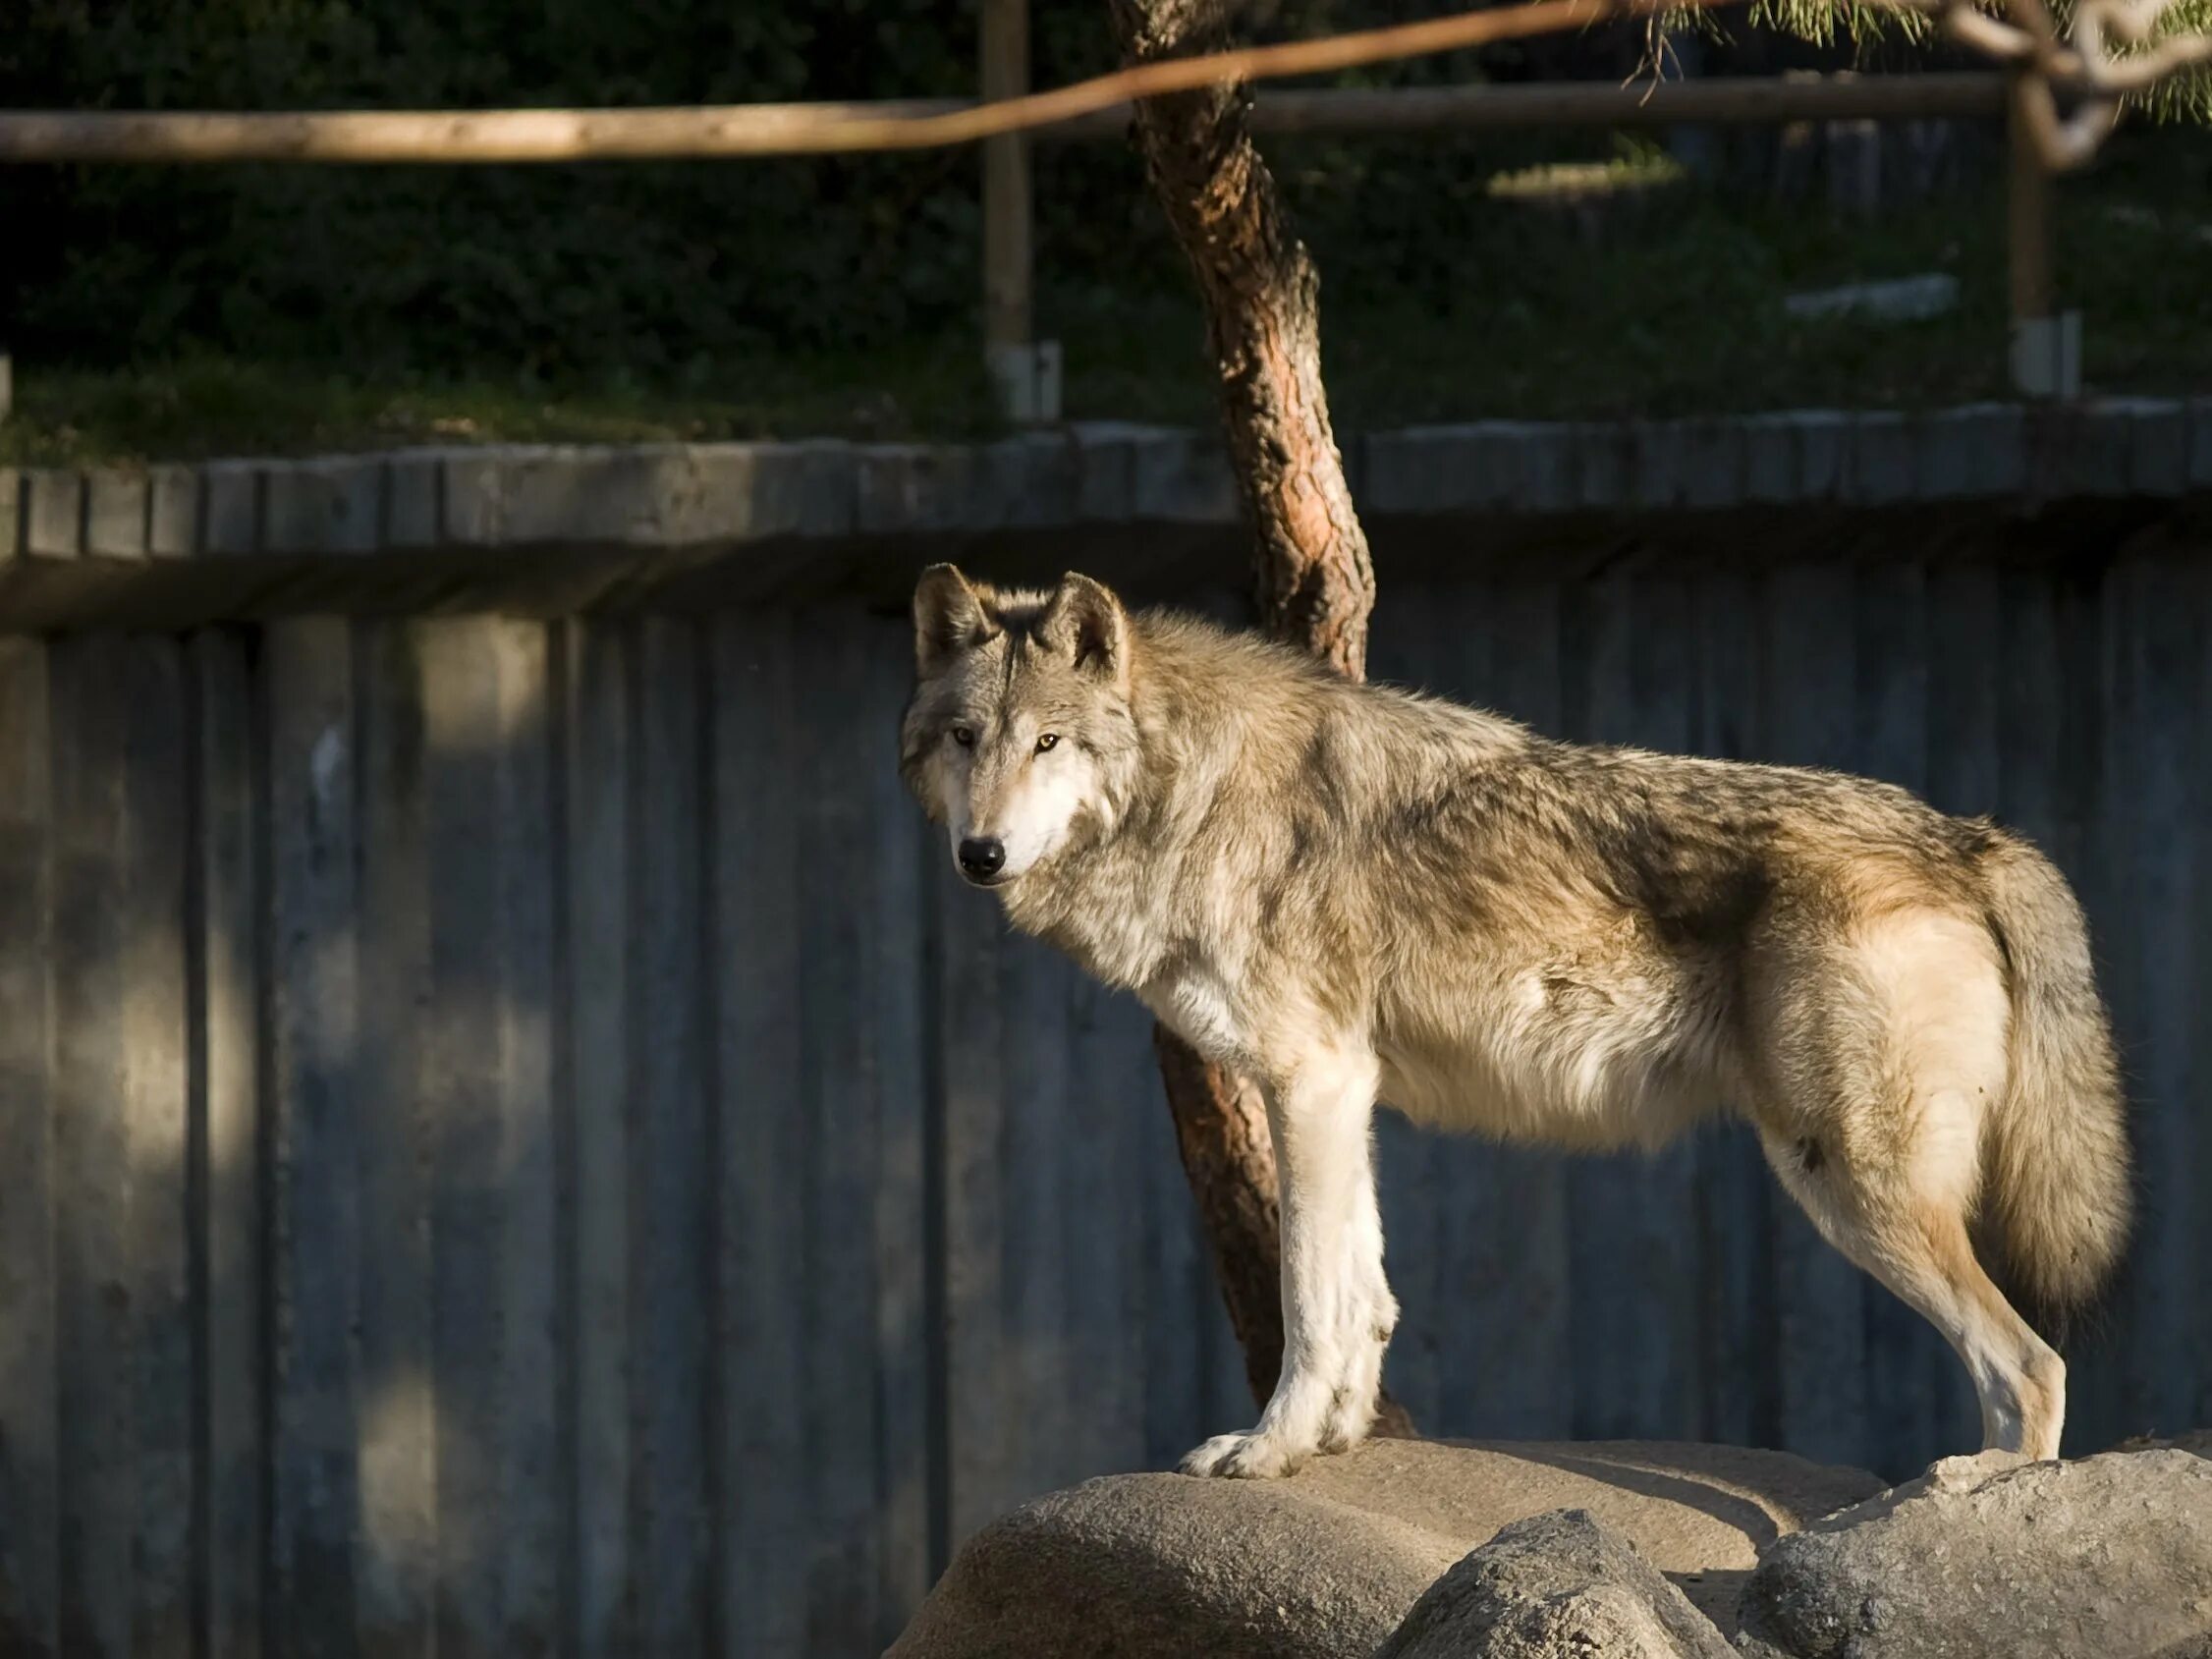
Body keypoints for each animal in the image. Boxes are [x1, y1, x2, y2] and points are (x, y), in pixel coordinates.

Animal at [898, 562, 2123, 1477]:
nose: (979, 855)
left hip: (1849, 1180)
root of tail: (1969, 834)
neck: (1189, 792)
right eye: (964, 738)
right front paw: (1336, 1443)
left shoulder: (1305, 1082)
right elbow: (1362, 1291)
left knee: (2033, 1364)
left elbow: (1306, 1301)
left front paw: (1267, 1450)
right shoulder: (1339, 1091)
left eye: (1048, 744)